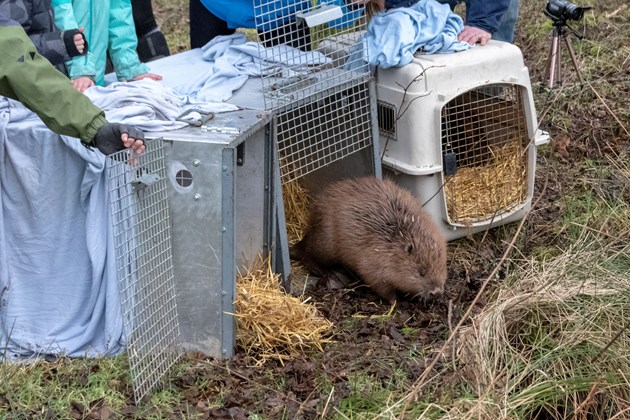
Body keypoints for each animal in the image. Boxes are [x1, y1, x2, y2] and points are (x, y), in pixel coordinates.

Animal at [292, 176, 450, 302]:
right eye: (422, 272)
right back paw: (334, 274)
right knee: (309, 257)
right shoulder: (373, 261)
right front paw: (394, 301)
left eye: (442, 267)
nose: (436, 292)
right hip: (325, 242)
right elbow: (377, 282)